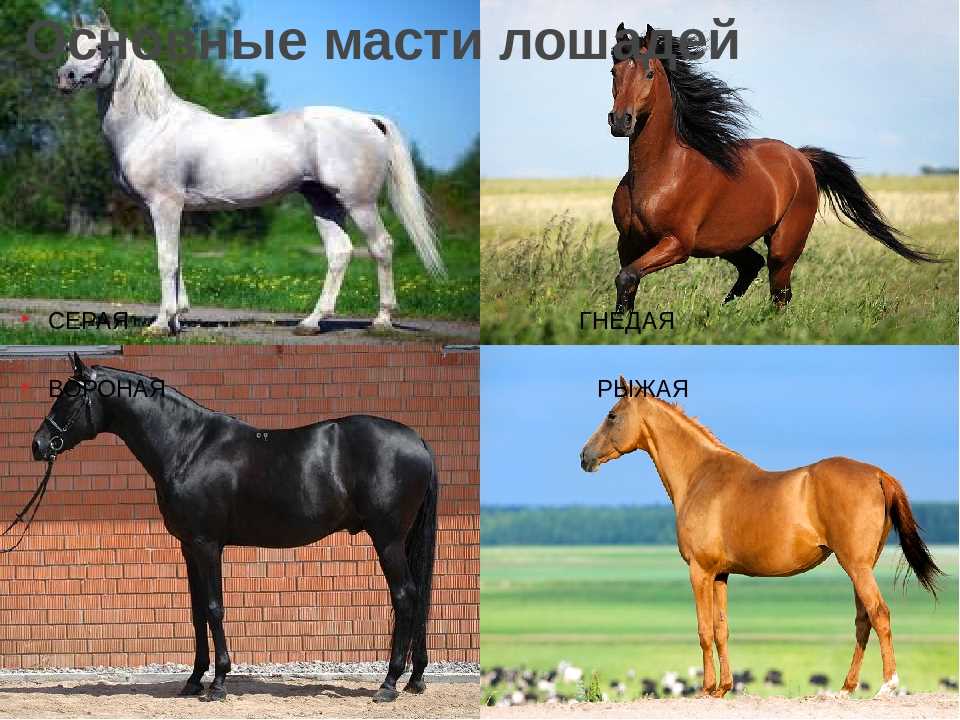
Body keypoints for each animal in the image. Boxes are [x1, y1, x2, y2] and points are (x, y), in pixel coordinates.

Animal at [30, 353, 438, 703]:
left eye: (69, 396)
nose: (38, 445)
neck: (189, 447)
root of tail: (418, 441)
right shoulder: (189, 547)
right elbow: (197, 612)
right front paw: (194, 679)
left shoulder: (207, 544)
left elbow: (214, 608)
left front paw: (219, 683)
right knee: (416, 598)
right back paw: (415, 678)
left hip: (388, 540)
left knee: (405, 597)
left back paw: (389, 683)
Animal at [56, 10, 445, 336]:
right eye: (71, 46)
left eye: (100, 47)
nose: (65, 77)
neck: (151, 125)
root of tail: (367, 119)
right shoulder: (175, 209)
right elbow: (178, 259)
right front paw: (178, 318)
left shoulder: (164, 205)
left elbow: (166, 260)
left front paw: (161, 324)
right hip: (323, 203)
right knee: (339, 253)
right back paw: (311, 322)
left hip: (359, 203)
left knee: (381, 246)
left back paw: (381, 320)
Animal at [580, 376, 942, 698]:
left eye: (612, 414)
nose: (584, 456)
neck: (700, 476)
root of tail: (878, 474)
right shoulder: (720, 575)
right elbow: (721, 629)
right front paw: (723, 688)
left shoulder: (699, 571)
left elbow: (703, 630)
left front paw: (705, 689)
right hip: (861, 566)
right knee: (863, 620)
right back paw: (846, 688)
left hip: (856, 566)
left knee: (879, 614)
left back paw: (888, 685)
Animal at [607, 24, 936, 313]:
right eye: (614, 71)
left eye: (649, 73)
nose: (620, 121)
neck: (660, 172)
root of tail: (800, 158)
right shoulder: (629, 242)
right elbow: (628, 286)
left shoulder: (677, 244)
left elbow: (626, 277)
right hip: (728, 242)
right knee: (753, 266)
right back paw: (725, 310)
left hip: (783, 244)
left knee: (779, 292)